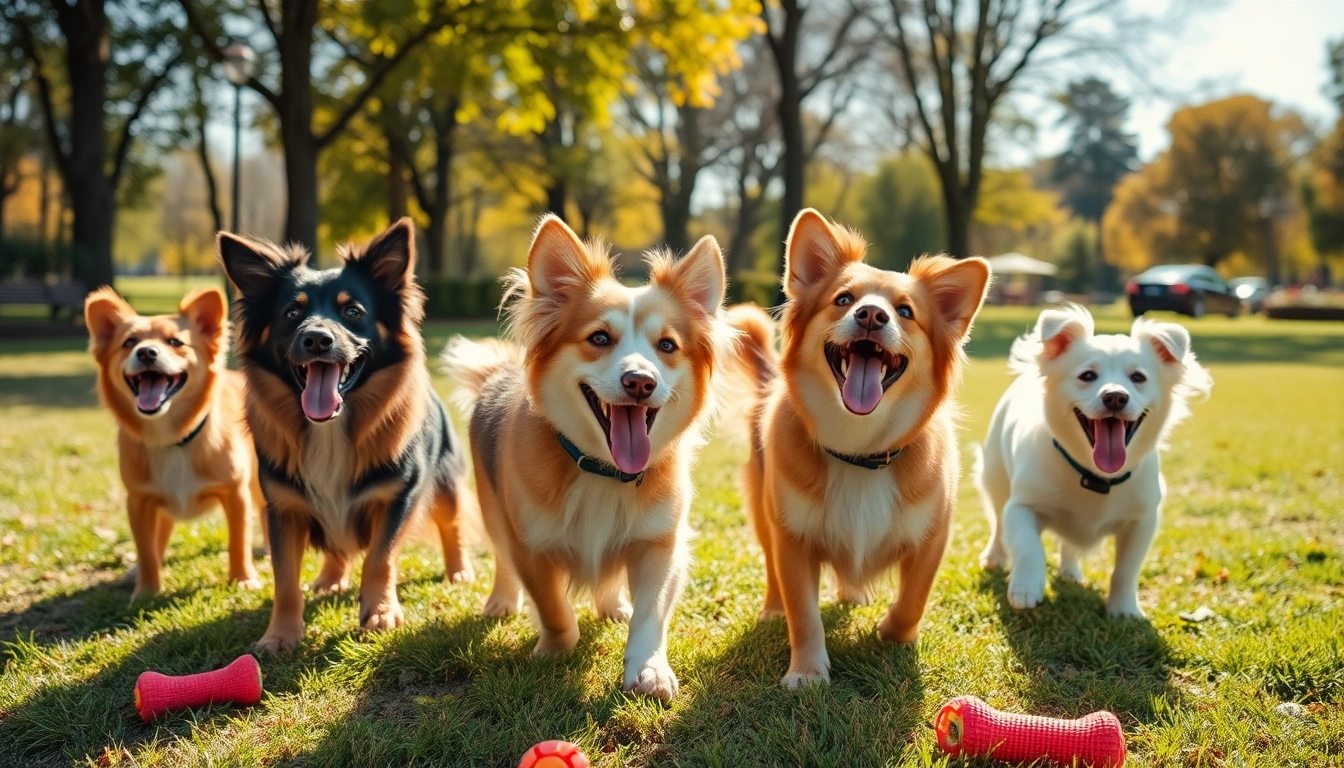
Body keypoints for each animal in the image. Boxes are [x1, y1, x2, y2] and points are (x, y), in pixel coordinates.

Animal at [85, 287, 263, 599]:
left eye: (175, 342)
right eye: (129, 342)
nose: (146, 351)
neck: (172, 438)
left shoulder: (236, 494)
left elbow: (238, 540)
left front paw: (242, 579)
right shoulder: (139, 501)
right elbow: (145, 549)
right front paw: (146, 590)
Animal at [217, 217, 475, 656]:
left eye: (352, 311)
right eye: (292, 312)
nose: (317, 339)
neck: (331, 428)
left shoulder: (399, 496)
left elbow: (379, 557)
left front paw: (380, 612)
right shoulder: (283, 507)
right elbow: (285, 579)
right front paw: (280, 634)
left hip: (445, 484)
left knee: (452, 523)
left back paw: (458, 570)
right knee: (337, 546)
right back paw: (330, 577)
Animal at [731, 207, 994, 688]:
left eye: (905, 311)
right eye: (843, 299)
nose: (872, 314)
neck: (859, 452)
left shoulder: (934, 537)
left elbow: (913, 599)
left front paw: (894, 635)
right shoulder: (792, 538)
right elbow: (804, 612)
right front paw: (807, 671)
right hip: (763, 509)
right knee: (773, 572)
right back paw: (773, 609)